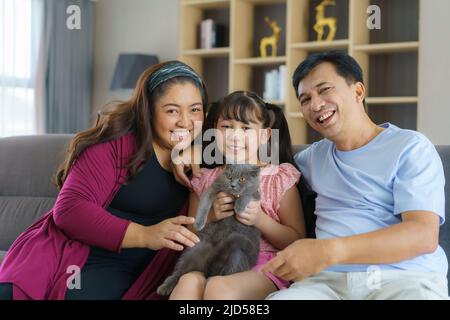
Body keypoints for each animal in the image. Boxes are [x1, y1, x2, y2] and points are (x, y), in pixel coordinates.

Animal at [157, 164, 260, 296]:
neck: (231, 196)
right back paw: (165, 287)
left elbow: (247, 195)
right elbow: (204, 204)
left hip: (237, 253)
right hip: (195, 249)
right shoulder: (213, 188)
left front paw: (239, 207)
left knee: (222, 272)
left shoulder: (257, 195)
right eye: (229, 177)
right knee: (180, 272)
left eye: (242, 179)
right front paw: (198, 223)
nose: (232, 185)